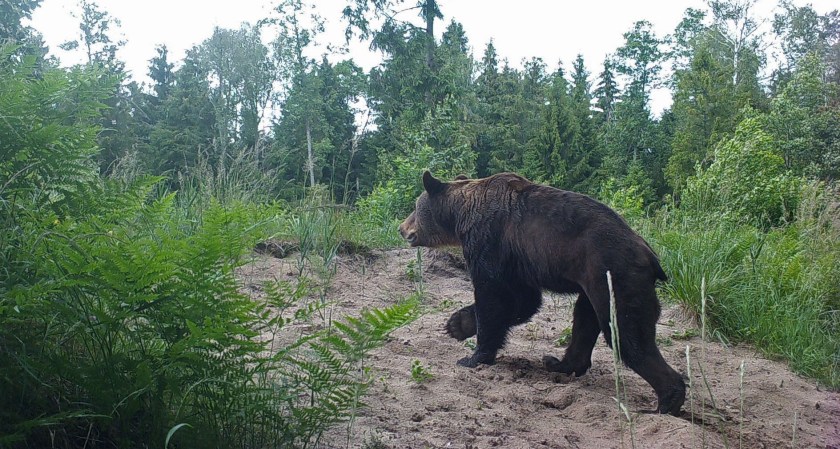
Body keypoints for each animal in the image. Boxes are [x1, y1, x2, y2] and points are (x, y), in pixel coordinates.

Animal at [399, 171, 686, 415]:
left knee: (627, 334)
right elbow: (523, 301)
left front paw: (473, 356)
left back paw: (665, 402)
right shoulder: (519, 259)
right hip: (593, 282)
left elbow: (494, 298)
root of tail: (651, 256)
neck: (461, 215)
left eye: (415, 207)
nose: (402, 228)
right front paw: (457, 324)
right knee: (585, 320)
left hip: (614, 275)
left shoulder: (489, 242)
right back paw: (559, 363)